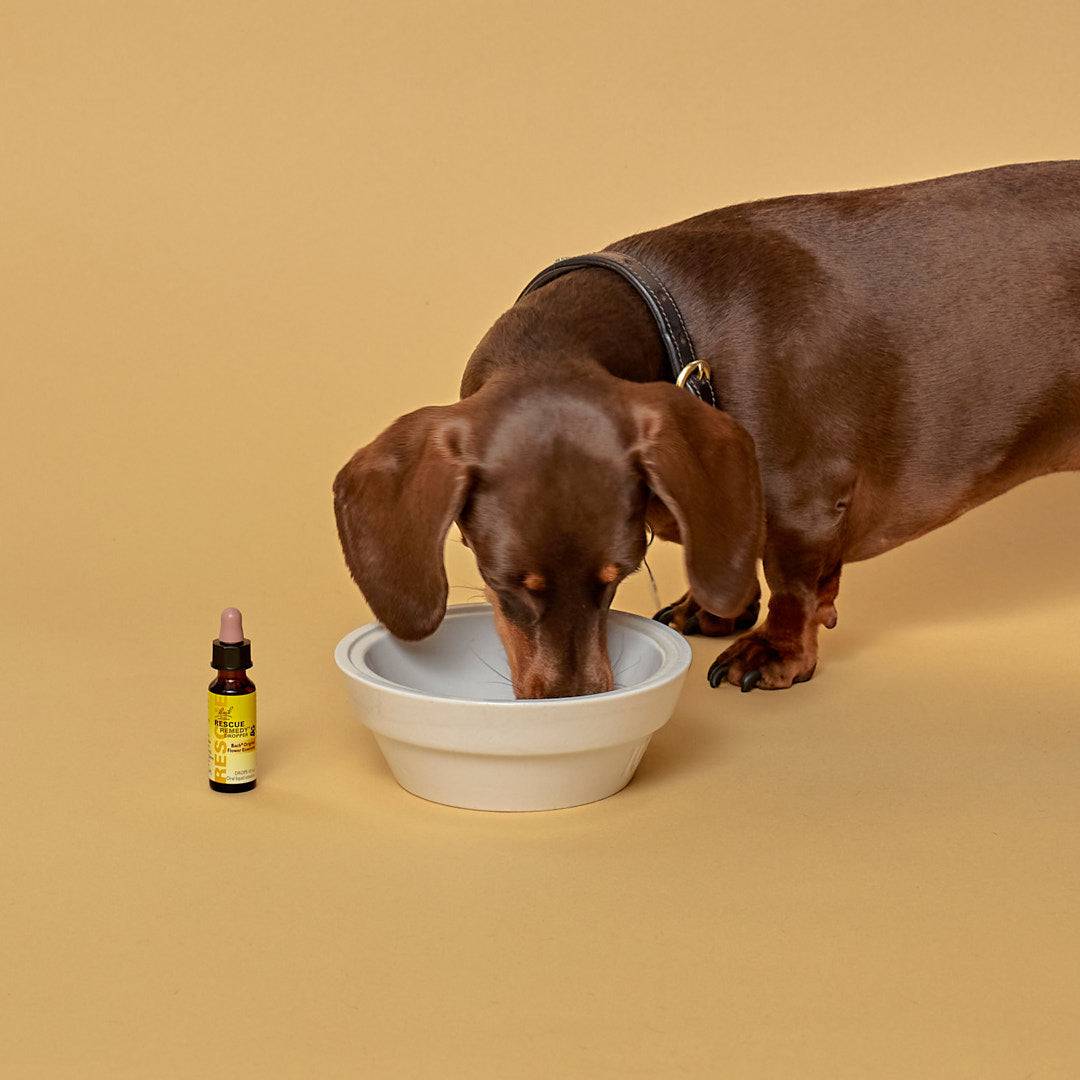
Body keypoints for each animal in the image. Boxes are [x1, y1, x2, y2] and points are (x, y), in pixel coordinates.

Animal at [334, 163, 1080, 695]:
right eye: (504, 581)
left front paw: (777, 650)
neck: (676, 322)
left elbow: (793, 584)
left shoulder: (805, 504)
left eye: (617, 575)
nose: (573, 701)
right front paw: (718, 610)